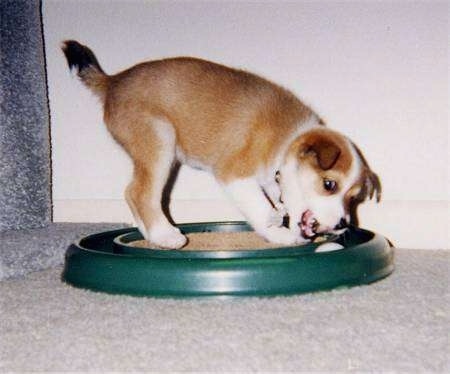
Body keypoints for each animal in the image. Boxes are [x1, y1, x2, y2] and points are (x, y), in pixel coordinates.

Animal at [62, 40, 380, 248]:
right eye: (329, 185)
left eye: (354, 198)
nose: (342, 225)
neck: (285, 140)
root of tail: (113, 81)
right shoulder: (234, 175)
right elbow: (259, 208)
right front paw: (278, 232)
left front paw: (280, 211)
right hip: (160, 143)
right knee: (139, 193)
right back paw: (165, 235)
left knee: (134, 195)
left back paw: (153, 235)